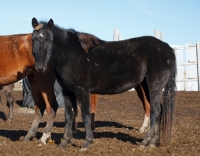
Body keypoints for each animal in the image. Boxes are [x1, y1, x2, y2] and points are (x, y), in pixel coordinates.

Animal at [31, 18, 177, 151]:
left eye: (50, 41)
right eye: (33, 40)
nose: (40, 68)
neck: (71, 54)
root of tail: (167, 48)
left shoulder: (82, 90)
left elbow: (85, 115)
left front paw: (87, 143)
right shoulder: (67, 91)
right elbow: (69, 115)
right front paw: (64, 142)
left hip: (154, 86)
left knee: (155, 111)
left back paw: (144, 142)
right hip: (146, 86)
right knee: (159, 110)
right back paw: (153, 142)